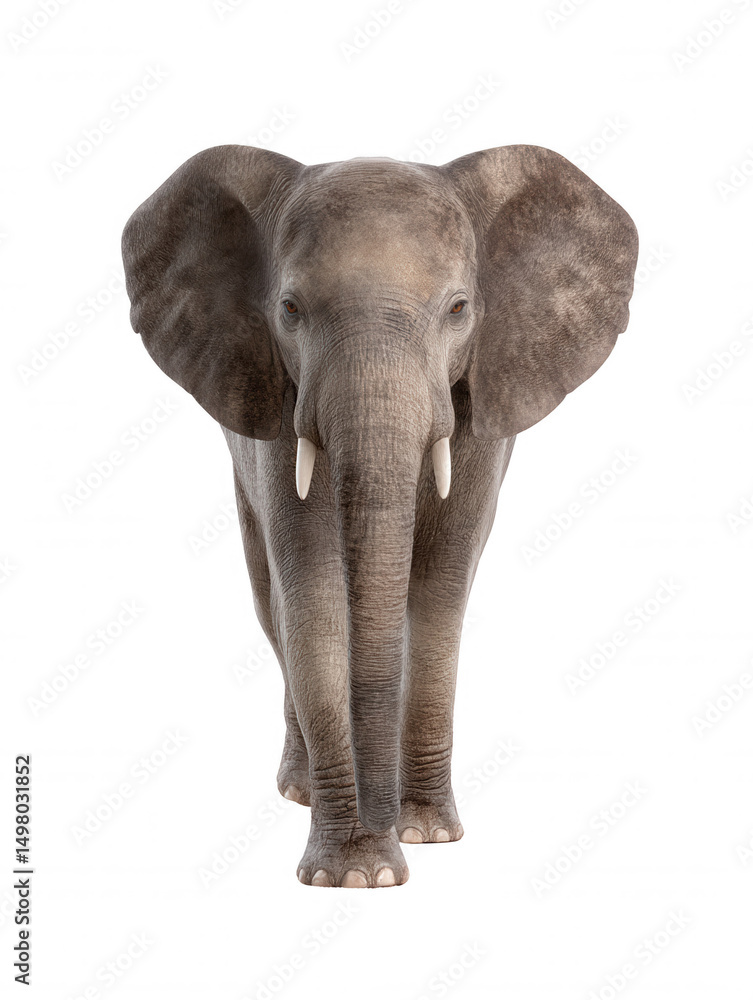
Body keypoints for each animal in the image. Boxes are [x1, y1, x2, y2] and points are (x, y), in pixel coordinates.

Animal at [122, 143, 638, 888]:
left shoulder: (478, 400)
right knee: (268, 598)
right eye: (289, 309)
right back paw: (300, 789)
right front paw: (358, 874)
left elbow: (440, 587)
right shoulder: (281, 407)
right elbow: (312, 595)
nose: (385, 820)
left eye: (458, 308)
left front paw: (426, 835)